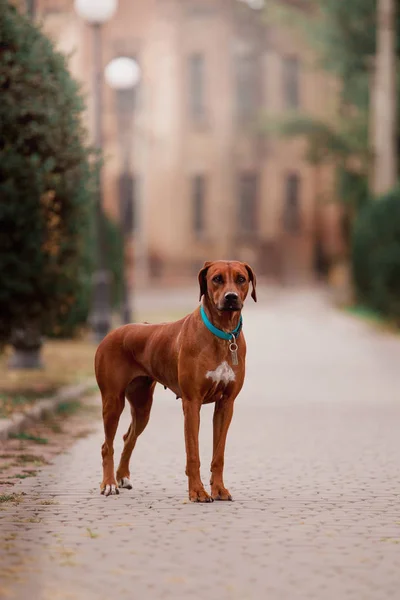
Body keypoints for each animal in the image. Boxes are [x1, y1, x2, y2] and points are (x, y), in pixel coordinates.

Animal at [94, 260, 256, 500]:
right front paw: (197, 492)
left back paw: (122, 476)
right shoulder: (192, 403)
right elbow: (193, 454)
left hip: (142, 405)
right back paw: (109, 484)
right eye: (217, 278)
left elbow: (218, 454)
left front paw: (219, 489)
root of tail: (112, 333)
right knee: (107, 445)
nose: (231, 297)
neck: (223, 333)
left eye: (241, 279)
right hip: (113, 401)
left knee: (128, 437)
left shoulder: (226, 404)